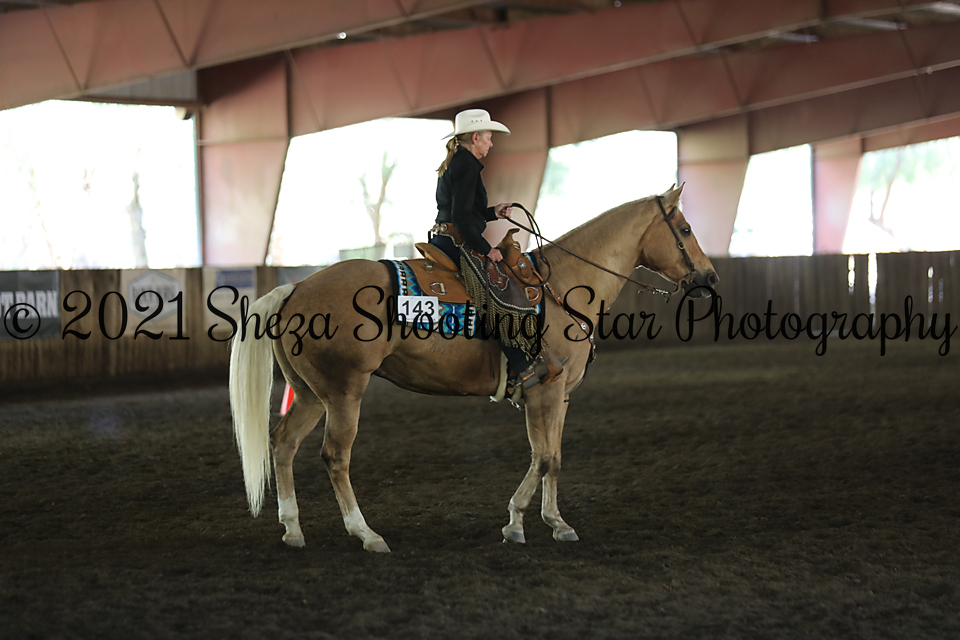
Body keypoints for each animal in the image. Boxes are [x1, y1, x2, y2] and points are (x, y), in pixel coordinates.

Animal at [229, 184, 718, 551]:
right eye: (686, 228)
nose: (710, 277)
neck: (561, 287)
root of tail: (296, 289)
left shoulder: (560, 397)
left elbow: (554, 458)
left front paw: (557, 523)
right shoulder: (542, 391)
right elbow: (542, 458)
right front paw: (516, 523)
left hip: (312, 394)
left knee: (283, 444)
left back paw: (293, 529)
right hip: (345, 392)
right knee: (335, 456)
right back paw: (366, 533)